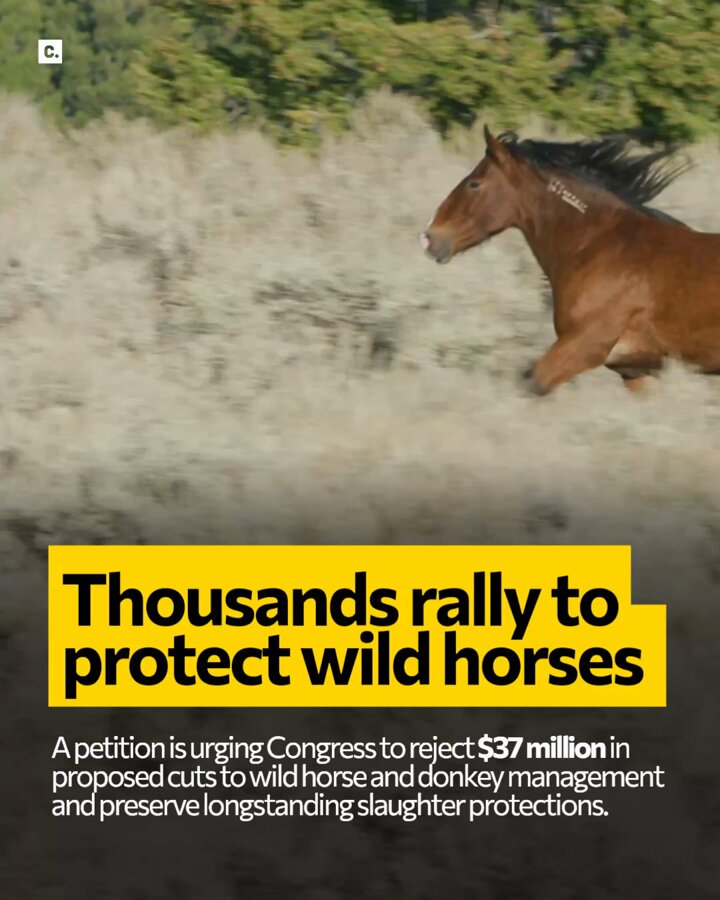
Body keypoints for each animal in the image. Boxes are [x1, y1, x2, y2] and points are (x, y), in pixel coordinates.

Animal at [420, 126, 720, 395]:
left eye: (474, 184)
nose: (429, 237)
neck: (597, 246)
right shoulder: (636, 370)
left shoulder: (585, 345)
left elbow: (533, 384)